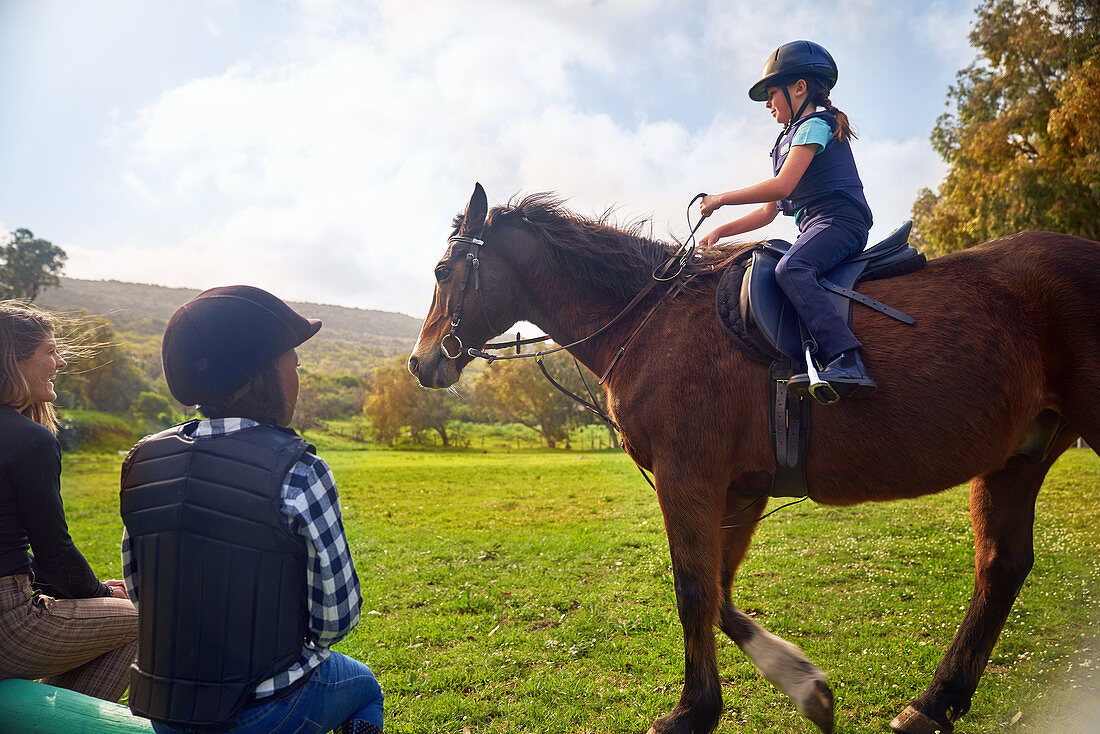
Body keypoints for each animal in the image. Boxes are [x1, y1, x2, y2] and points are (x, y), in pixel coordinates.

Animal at [411, 183, 1100, 734]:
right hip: (1018, 455)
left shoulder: (687, 477)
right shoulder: (739, 488)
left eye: (443, 271)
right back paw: (935, 703)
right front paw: (803, 683)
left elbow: (694, 590)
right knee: (1001, 566)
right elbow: (718, 591)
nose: (420, 363)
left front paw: (694, 712)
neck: (650, 320)